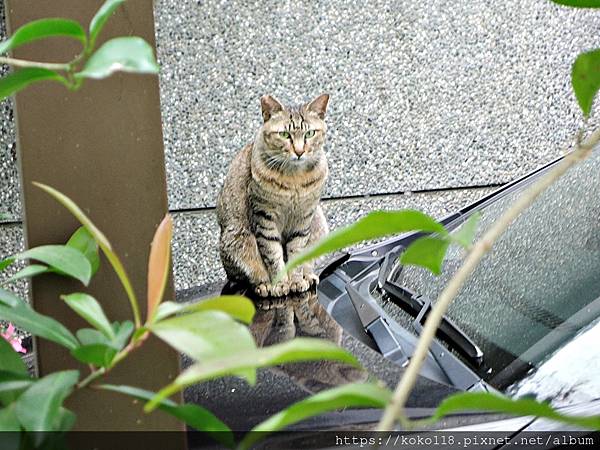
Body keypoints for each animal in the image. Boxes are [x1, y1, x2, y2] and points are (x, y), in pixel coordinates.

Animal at [216, 93, 328, 298]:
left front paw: (296, 280)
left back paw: (308, 276)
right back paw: (264, 285)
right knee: (247, 276)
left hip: (319, 224)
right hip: (237, 241)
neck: (294, 180)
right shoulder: (264, 216)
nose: (299, 151)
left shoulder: (304, 218)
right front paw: (281, 284)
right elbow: (273, 256)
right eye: (284, 135)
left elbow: (297, 252)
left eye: (310, 133)